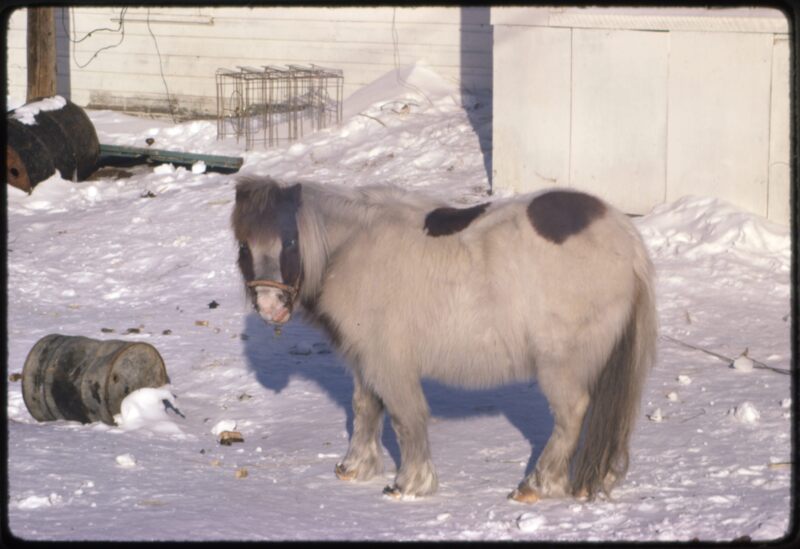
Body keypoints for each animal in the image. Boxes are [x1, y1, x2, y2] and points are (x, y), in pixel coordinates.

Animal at [233, 177, 656, 500]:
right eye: (244, 245)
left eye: (290, 242)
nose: (270, 306)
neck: (350, 247)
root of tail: (626, 238)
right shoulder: (366, 360)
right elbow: (365, 409)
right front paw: (354, 468)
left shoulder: (390, 363)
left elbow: (406, 419)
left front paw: (408, 484)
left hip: (561, 365)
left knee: (570, 416)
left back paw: (536, 485)